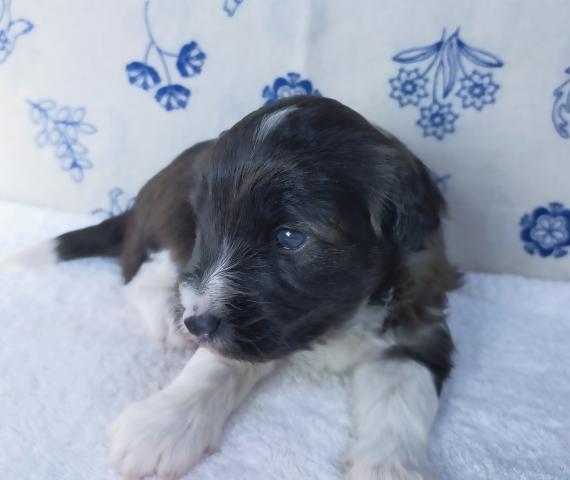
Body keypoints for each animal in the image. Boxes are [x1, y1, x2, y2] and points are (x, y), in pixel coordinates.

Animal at [6, 96, 458, 479]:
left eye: (290, 237)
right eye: (209, 226)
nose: (196, 324)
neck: (338, 325)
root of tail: (133, 208)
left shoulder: (418, 327)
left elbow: (403, 403)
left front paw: (390, 469)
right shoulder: (235, 325)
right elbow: (213, 366)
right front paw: (160, 425)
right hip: (170, 228)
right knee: (138, 277)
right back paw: (169, 321)